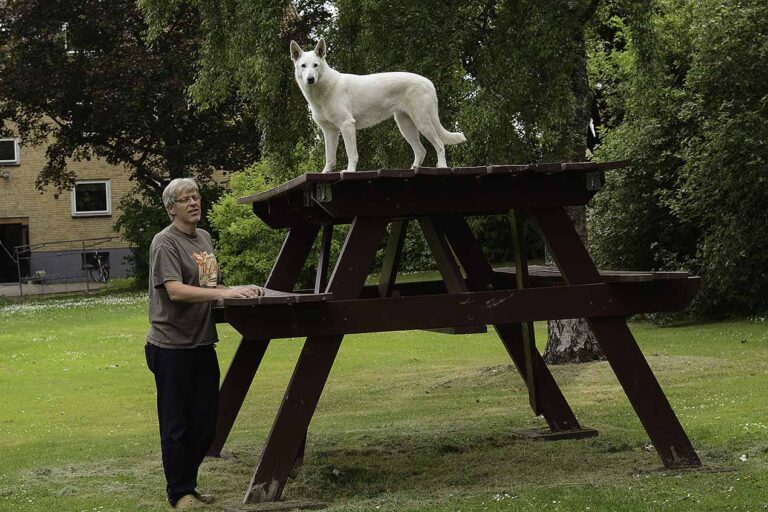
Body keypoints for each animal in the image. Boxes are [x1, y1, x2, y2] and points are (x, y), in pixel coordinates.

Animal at [292, 38, 464, 173]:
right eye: (303, 66)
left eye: (315, 65)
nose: (310, 79)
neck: (322, 91)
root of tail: (428, 82)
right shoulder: (329, 132)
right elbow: (329, 158)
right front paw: (325, 172)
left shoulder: (347, 125)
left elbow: (351, 154)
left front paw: (350, 171)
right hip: (405, 126)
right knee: (421, 150)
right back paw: (414, 168)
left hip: (422, 121)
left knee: (440, 145)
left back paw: (442, 167)